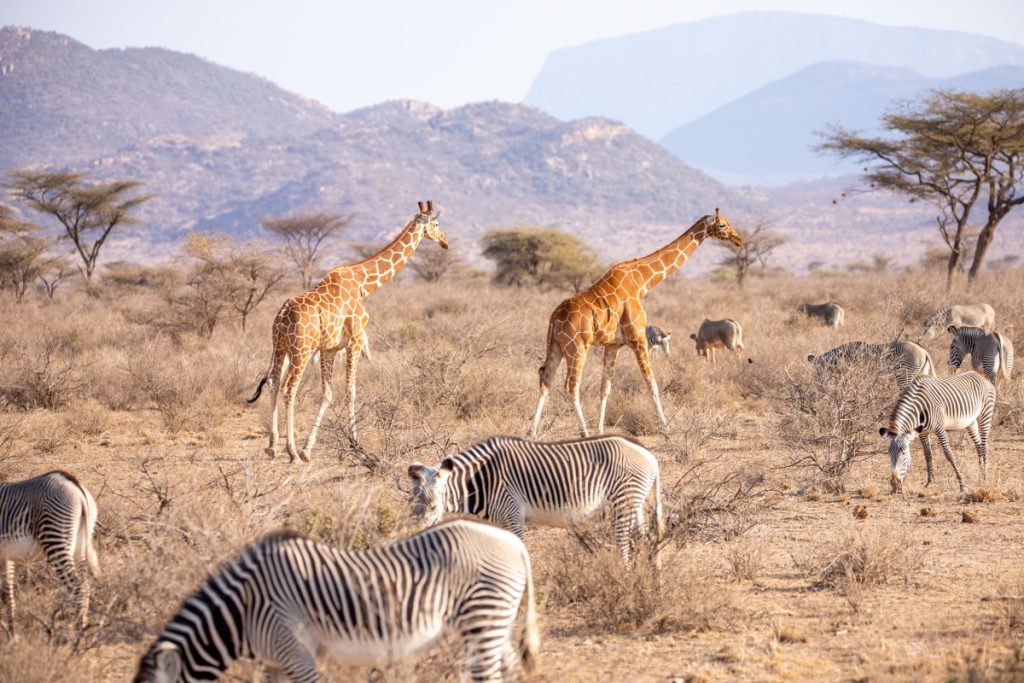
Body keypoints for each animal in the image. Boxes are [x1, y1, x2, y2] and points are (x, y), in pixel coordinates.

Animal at [0, 470, 99, 634]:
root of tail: (75, 486)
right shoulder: (5, 557)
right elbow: (8, 594)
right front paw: (12, 634)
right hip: (80, 546)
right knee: (85, 585)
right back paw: (83, 626)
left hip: (55, 540)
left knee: (78, 587)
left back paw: (78, 632)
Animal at [134, 519, 538, 683]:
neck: (245, 611)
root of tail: (512, 542)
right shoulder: (273, 663)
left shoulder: (296, 654)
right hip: (492, 621)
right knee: (511, 668)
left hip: (483, 619)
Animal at [406, 434, 663, 561]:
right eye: (411, 508)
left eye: (433, 507)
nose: (413, 539)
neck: (483, 479)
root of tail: (646, 451)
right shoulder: (500, 520)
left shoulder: (512, 513)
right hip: (636, 504)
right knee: (646, 540)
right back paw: (650, 582)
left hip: (623, 502)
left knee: (625, 543)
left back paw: (626, 575)